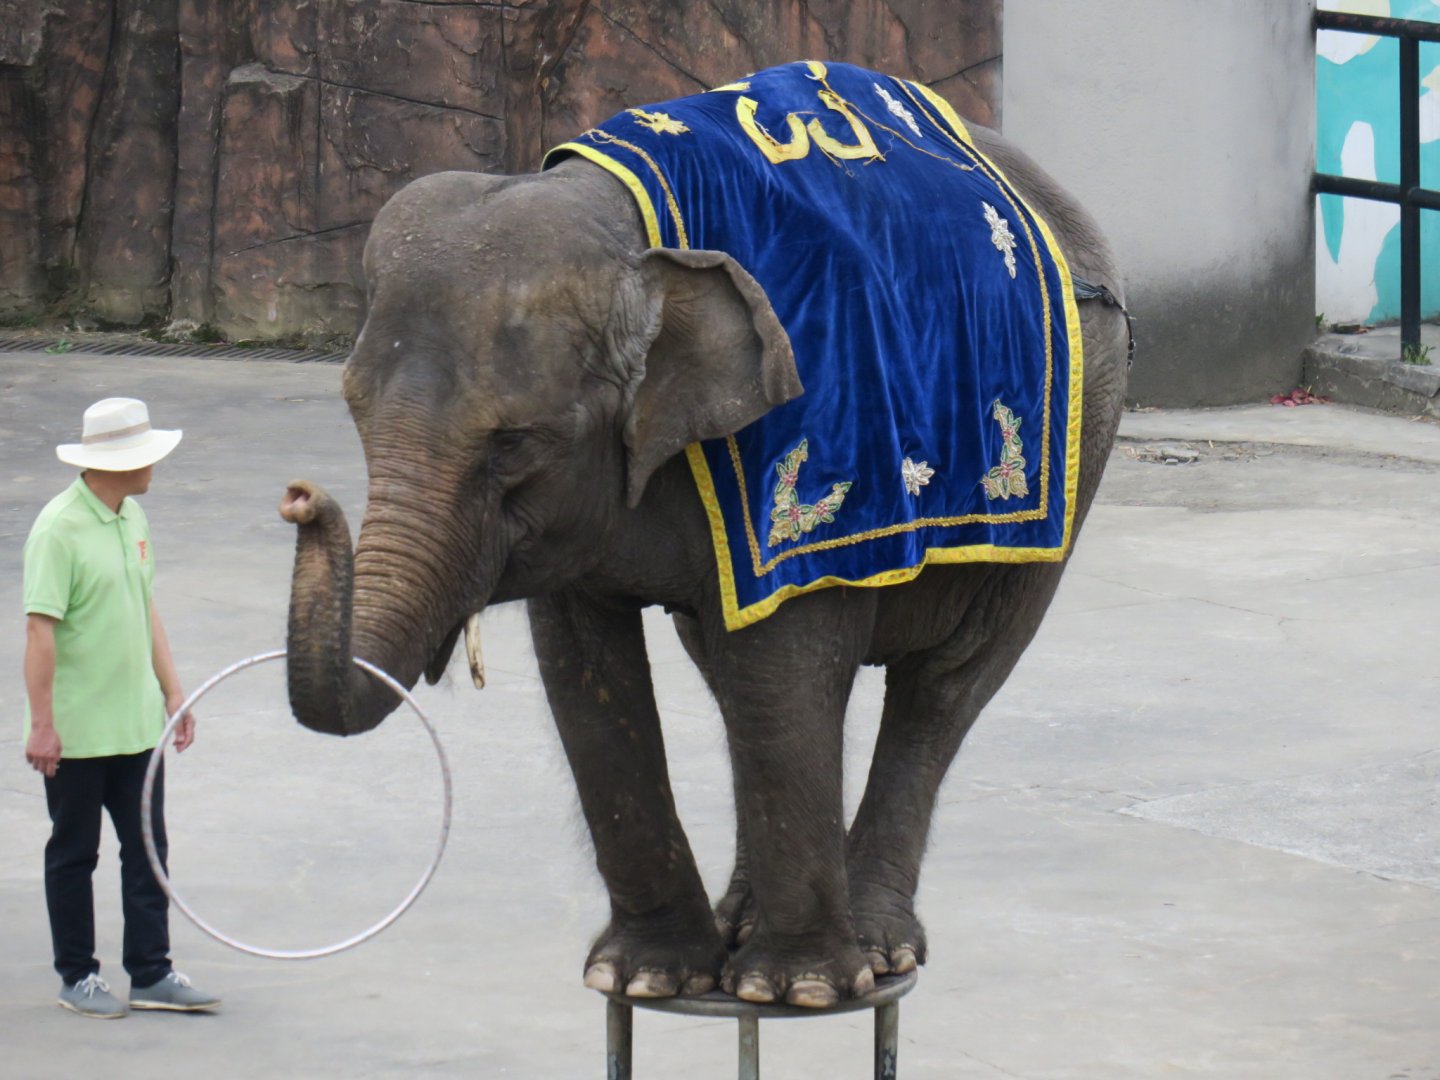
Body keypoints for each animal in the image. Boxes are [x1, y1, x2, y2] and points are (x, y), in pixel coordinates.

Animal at [279, 65, 1130, 1010]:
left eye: (515, 444)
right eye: (353, 410)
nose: (300, 499)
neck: (627, 236)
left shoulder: (802, 434)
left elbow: (782, 658)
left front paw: (794, 991)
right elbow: (587, 672)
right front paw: (646, 977)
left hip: (1080, 440)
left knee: (941, 686)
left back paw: (874, 953)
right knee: (744, 682)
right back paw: (743, 926)